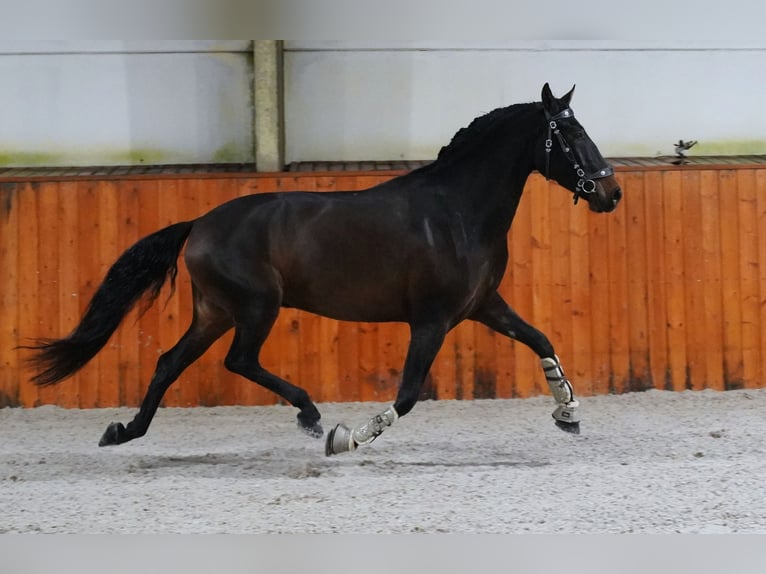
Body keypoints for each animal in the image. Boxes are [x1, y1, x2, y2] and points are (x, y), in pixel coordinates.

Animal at [25, 83, 624, 456]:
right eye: (571, 136)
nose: (611, 194)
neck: (456, 211)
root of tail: (199, 224)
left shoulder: (482, 306)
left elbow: (541, 339)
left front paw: (568, 414)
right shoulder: (431, 320)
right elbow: (407, 395)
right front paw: (348, 438)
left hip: (215, 310)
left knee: (170, 362)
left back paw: (124, 432)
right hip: (255, 306)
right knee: (238, 360)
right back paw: (311, 416)